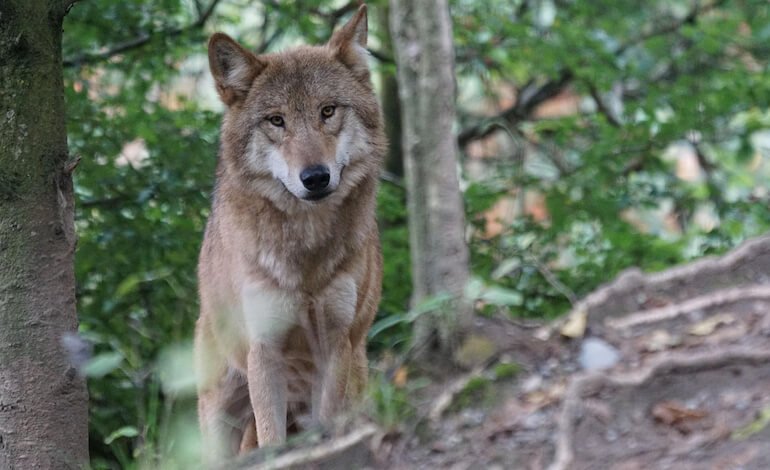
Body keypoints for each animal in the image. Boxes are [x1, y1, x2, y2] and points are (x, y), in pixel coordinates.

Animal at [194, 4, 385, 458]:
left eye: (327, 111)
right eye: (276, 121)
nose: (315, 177)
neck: (306, 254)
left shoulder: (335, 342)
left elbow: (328, 423)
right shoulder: (265, 350)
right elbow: (271, 437)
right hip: (220, 409)